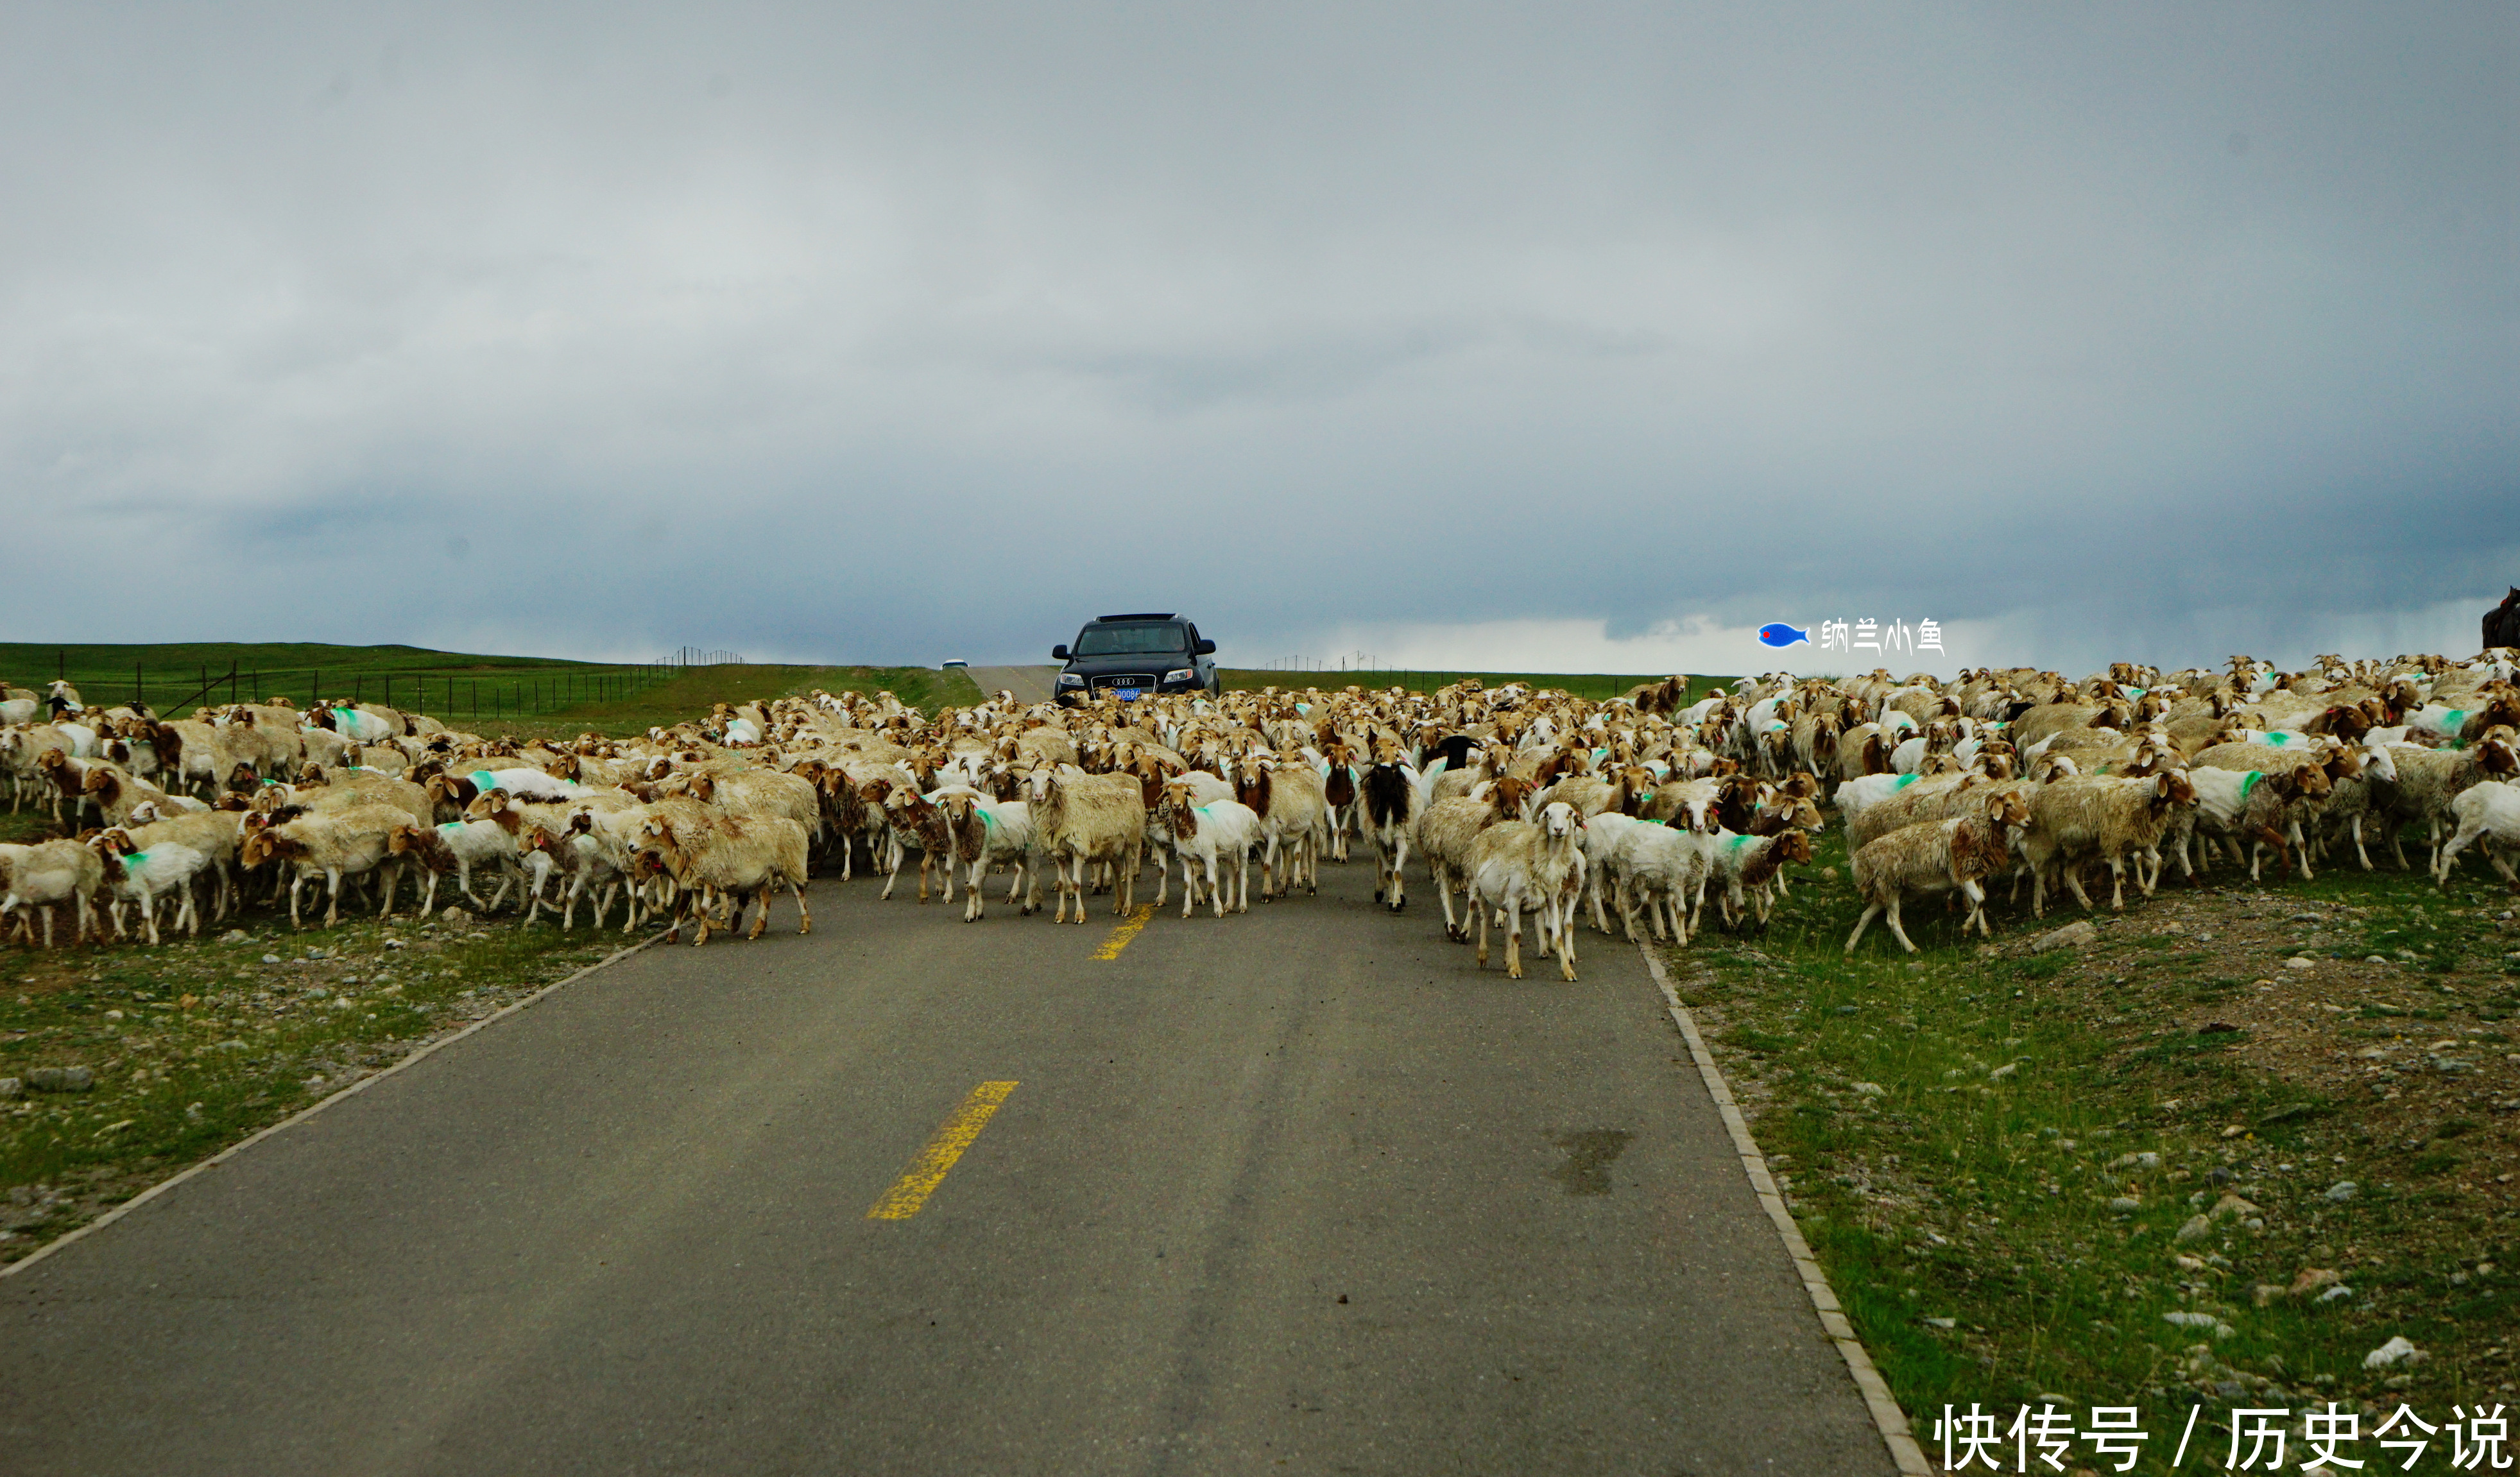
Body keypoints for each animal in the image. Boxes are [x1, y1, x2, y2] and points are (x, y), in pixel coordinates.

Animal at [1461, 791, 1572, 978]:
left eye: (1569, 813)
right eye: (1548, 814)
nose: (1558, 830)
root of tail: (1491, 829)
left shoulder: (1551, 900)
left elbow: (1557, 936)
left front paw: (1568, 972)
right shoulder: (1515, 899)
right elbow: (1516, 934)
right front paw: (1515, 969)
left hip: (1504, 897)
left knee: (1506, 925)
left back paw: (1508, 959)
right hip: (1480, 888)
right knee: (1483, 918)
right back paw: (1483, 955)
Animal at [1844, 786, 2036, 948]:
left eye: (2023, 801)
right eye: (2008, 804)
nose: (2029, 821)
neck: (1978, 830)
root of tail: (1859, 859)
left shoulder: (1978, 877)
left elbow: (1980, 901)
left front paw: (1983, 930)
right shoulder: (1963, 874)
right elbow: (1981, 900)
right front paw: (1966, 927)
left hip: (1884, 890)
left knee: (1866, 915)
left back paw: (1850, 946)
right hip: (1889, 887)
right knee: (1892, 921)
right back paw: (1911, 948)